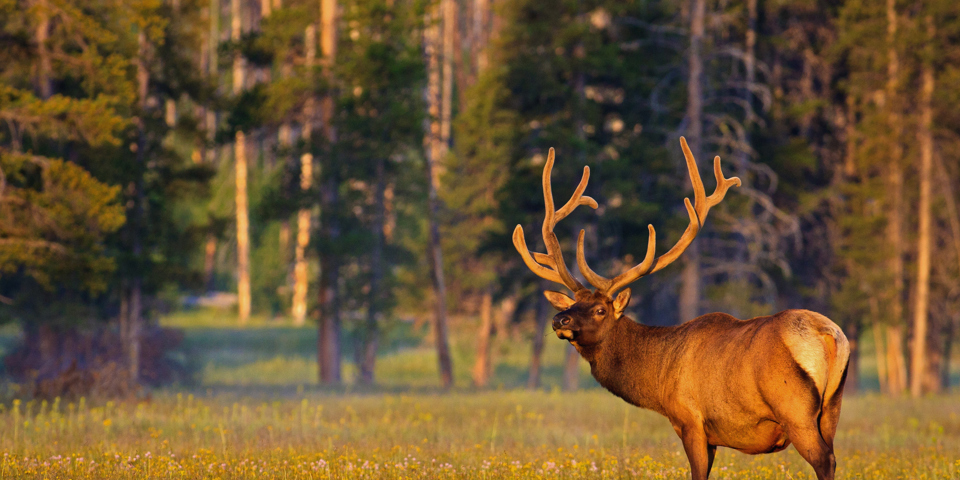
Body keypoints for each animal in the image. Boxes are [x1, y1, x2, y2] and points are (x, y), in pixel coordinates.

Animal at [512, 137, 852, 478]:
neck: (658, 379)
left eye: (600, 310)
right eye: (574, 303)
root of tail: (828, 333)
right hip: (832, 408)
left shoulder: (690, 420)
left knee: (824, 459)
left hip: (795, 409)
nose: (560, 319)